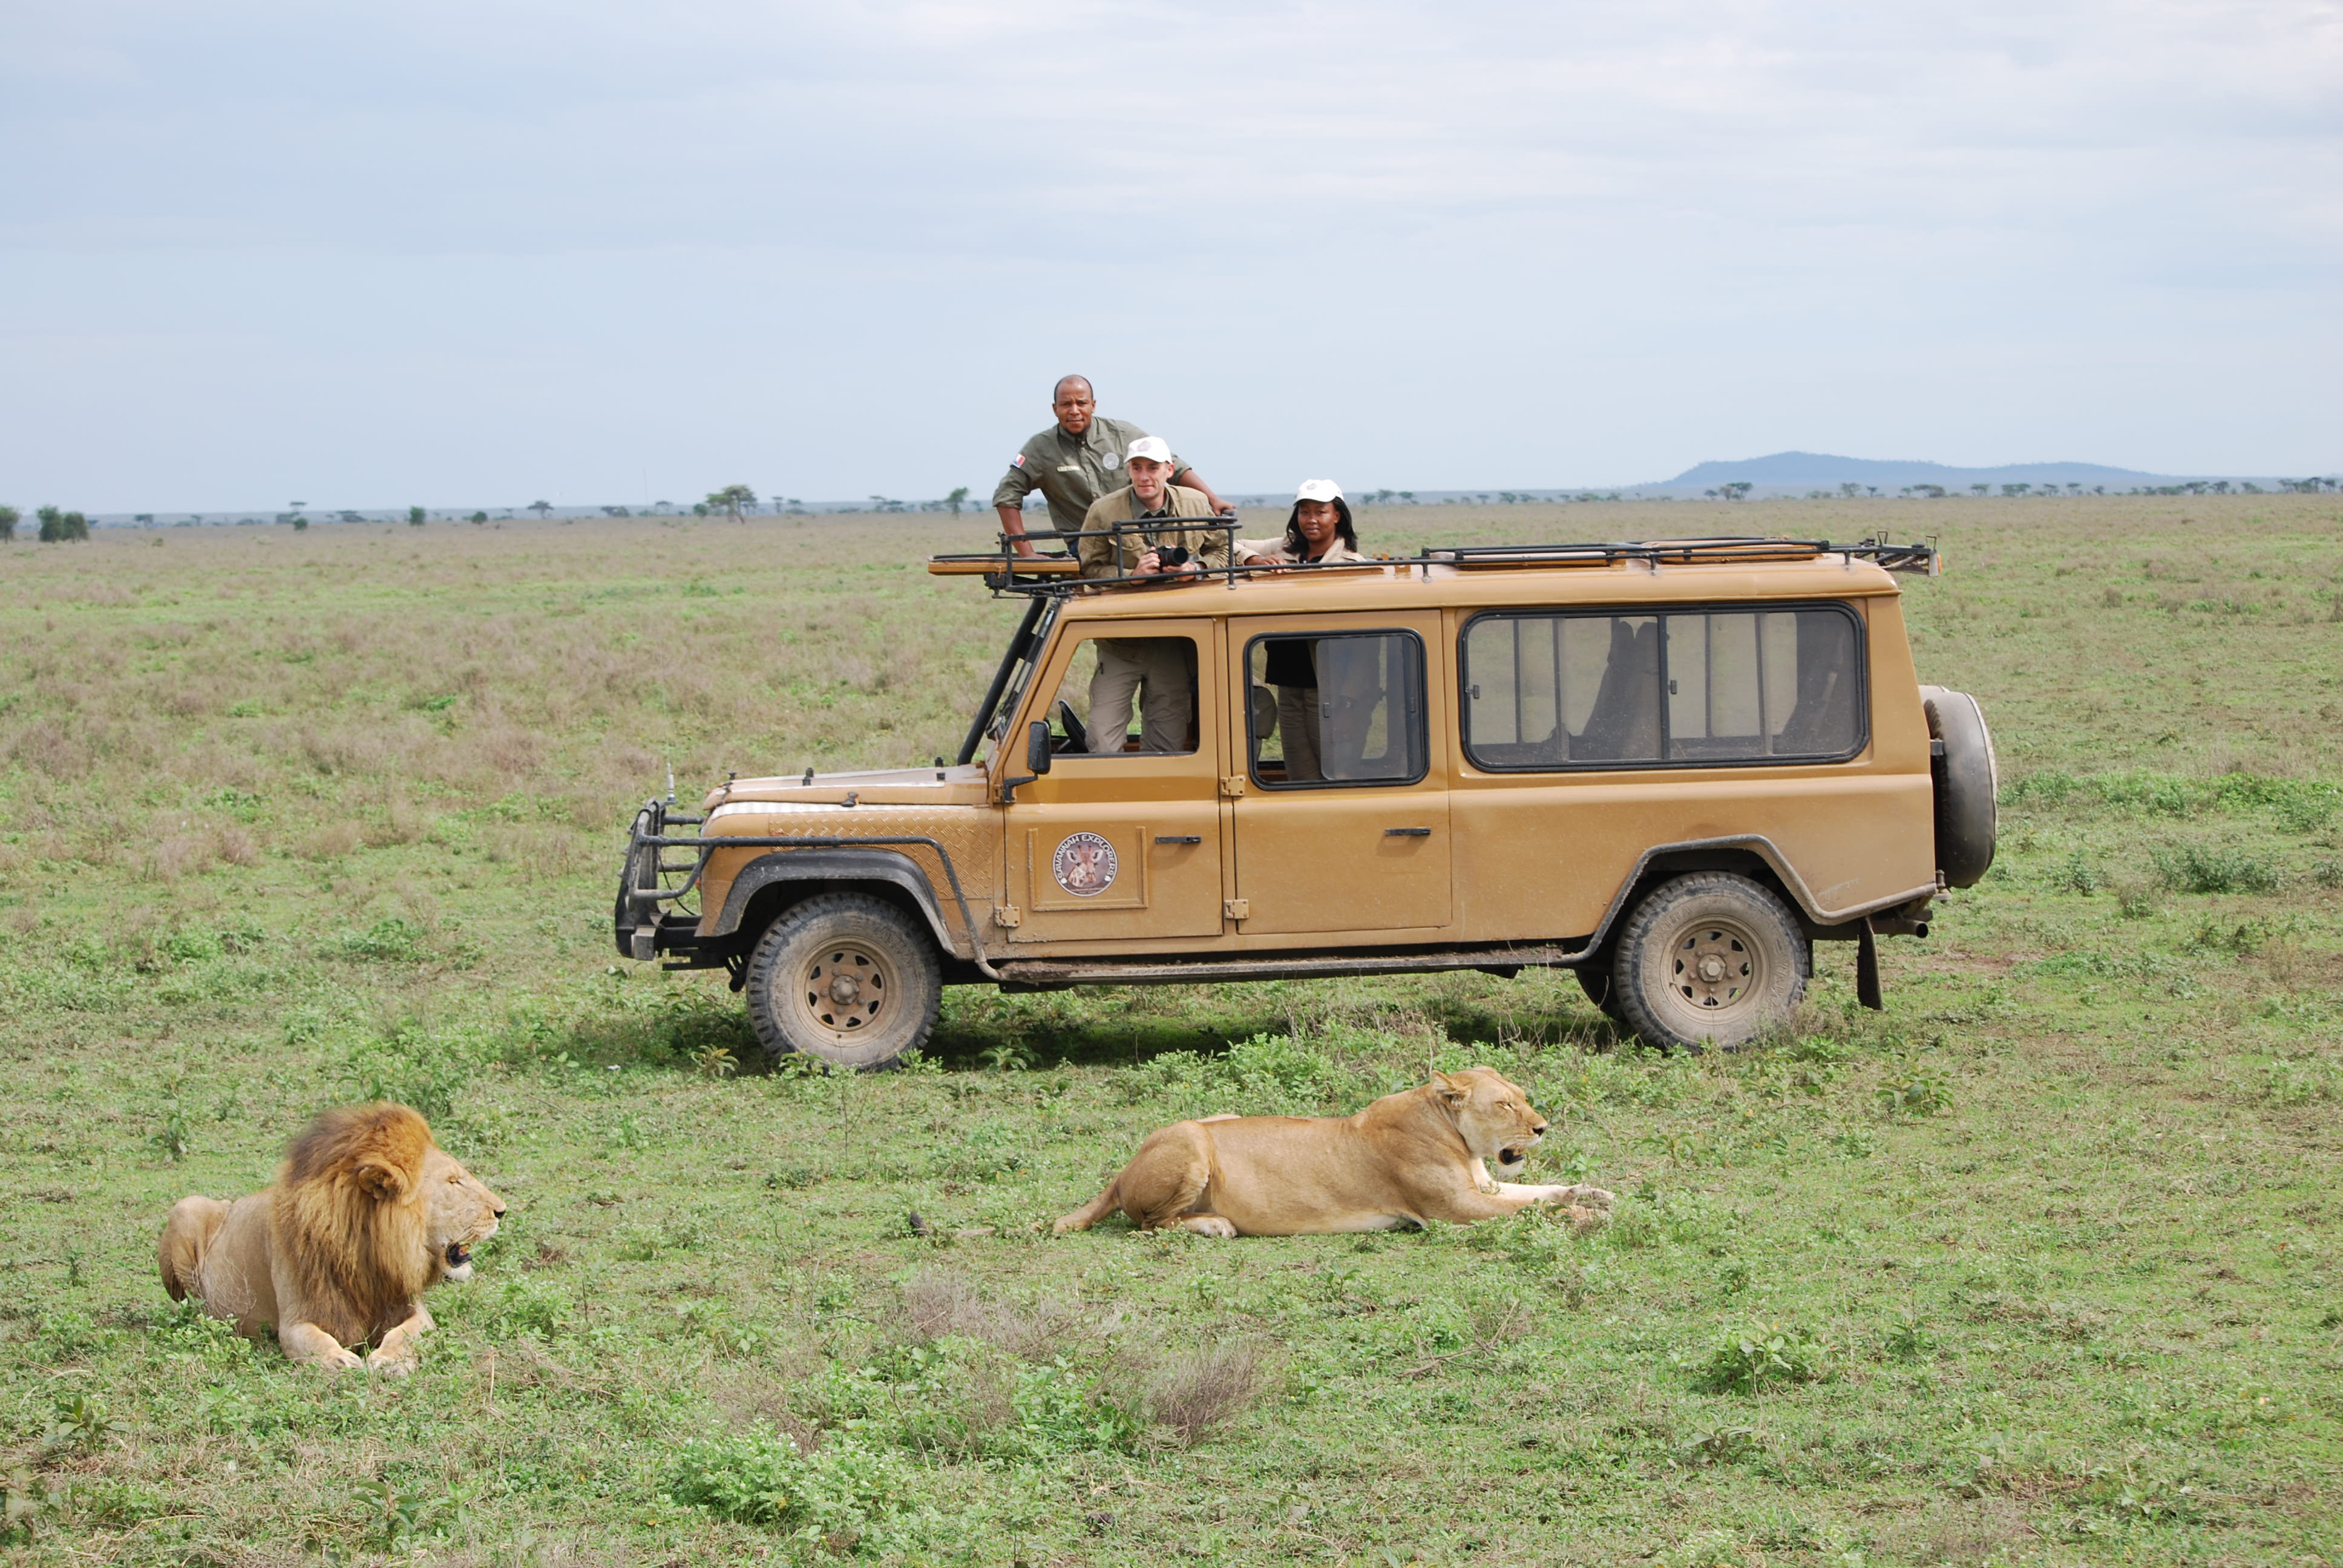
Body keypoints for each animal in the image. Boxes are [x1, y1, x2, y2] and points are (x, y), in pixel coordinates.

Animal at [166, 1101, 513, 1368]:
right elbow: (311, 1340)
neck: (364, 1253)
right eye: (454, 1182)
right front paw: (340, 1361)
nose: (502, 1210)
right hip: (185, 1208)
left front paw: (389, 1361)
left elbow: (406, 1334)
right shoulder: (294, 1320)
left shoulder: (411, 1309)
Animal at [1059, 1063, 1611, 1237]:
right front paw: (1587, 1217)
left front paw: (1595, 1194)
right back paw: (1214, 1224)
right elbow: (1530, 1211)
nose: (1542, 1128)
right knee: (1149, 1224)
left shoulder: (1486, 1187)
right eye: (1504, 1104)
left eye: (1522, 1095)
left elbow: (1542, 1192)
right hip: (1192, 1139)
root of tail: (1122, 1170)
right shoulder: (1455, 1209)